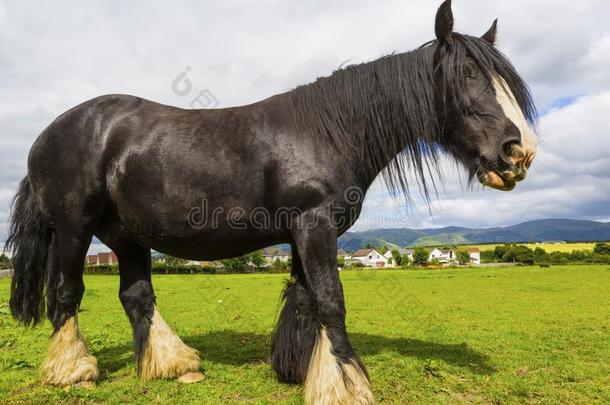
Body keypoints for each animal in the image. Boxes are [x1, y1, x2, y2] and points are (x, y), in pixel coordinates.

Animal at [7, 1, 536, 402]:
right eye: (467, 73)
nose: (519, 152)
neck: (330, 129)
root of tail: (46, 134)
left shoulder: (308, 232)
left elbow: (304, 299)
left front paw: (301, 370)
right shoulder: (313, 225)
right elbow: (330, 300)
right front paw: (347, 385)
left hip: (127, 235)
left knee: (137, 296)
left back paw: (174, 365)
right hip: (74, 229)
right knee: (66, 294)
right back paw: (73, 371)